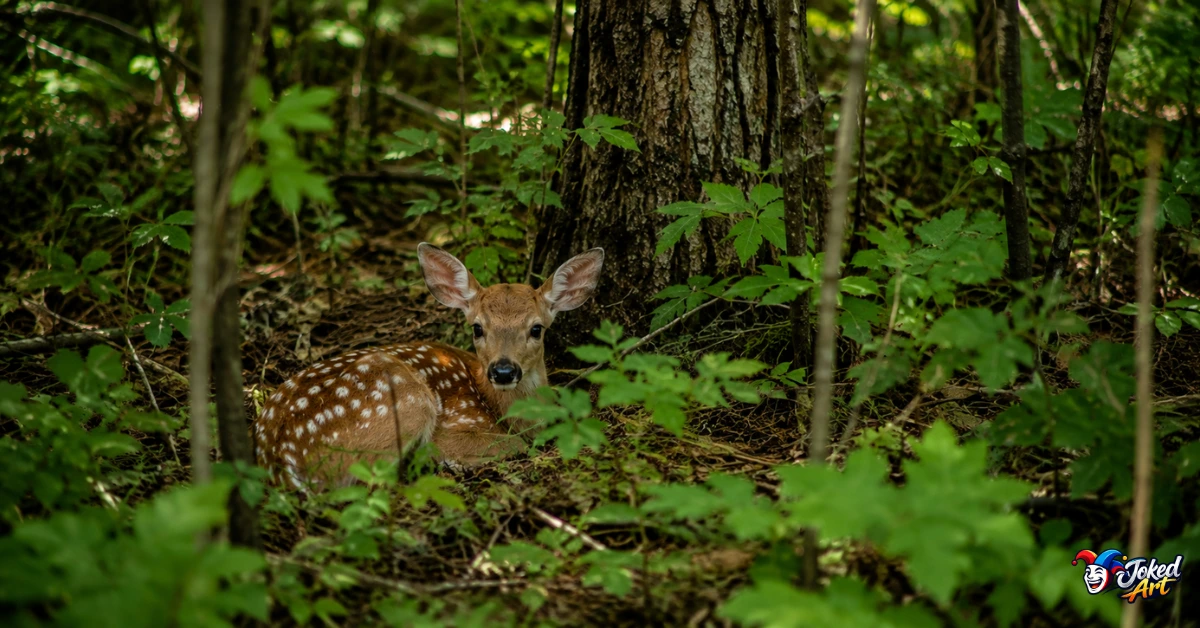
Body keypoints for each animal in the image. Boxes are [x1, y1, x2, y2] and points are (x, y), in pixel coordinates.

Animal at [254, 243, 605, 490]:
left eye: (536, 329)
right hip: (405, 401)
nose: (504, 371)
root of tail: (280, 463)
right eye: (477, 328)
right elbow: (512, 443)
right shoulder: (455, 425)